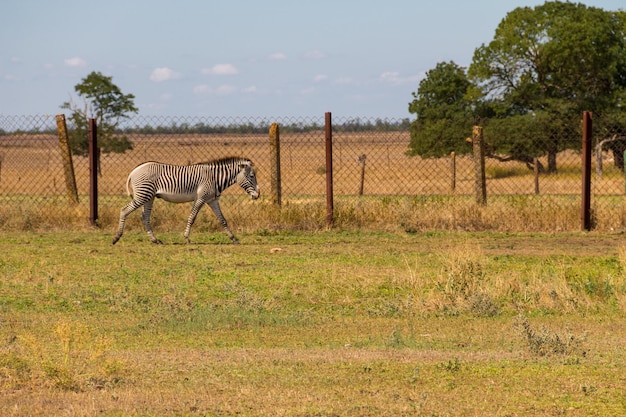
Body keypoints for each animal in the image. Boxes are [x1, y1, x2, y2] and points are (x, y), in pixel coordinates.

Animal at [110, 156, 258, 244]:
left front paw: (233, 239)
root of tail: (135, 170)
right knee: (124, 210)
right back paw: (117, 237)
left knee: (145, 217)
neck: (215, 178)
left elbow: (222, 220)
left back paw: (155, 240)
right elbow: (192, 217)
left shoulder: (212, 200)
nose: (257, 195)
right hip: (143, 195)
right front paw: (186, 238)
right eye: (251, 176)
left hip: (149, 197)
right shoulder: (200, 198)